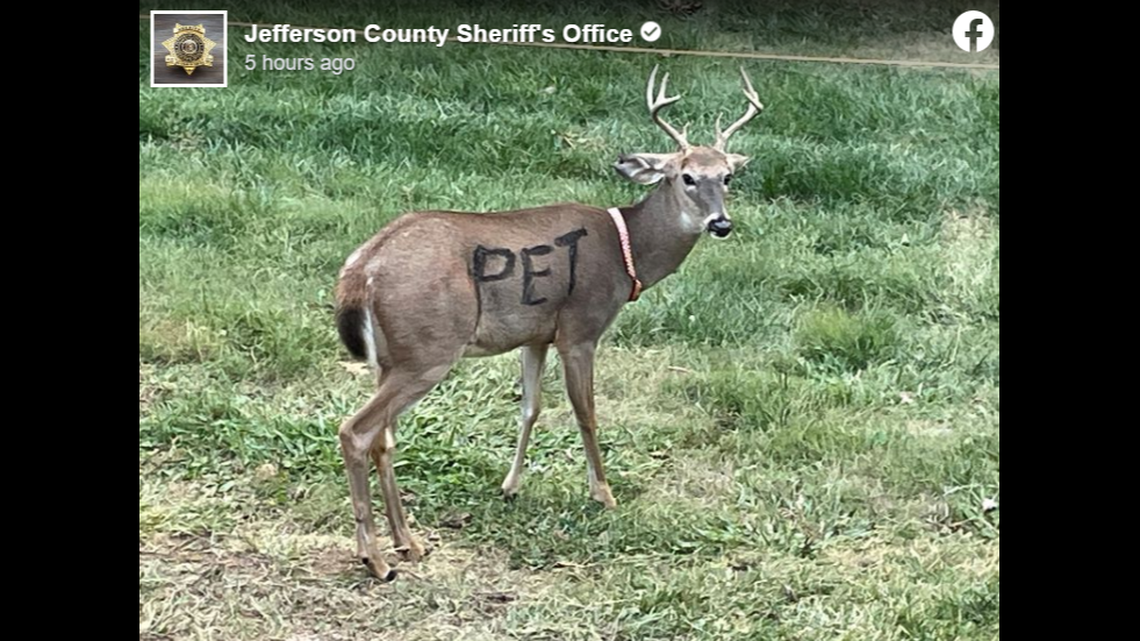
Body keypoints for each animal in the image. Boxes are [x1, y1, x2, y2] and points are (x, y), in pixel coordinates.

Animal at [334, 65, 765, 580]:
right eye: (687, 177)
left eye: (728, 176)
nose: (721, 224)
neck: (628, 253)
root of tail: (362, 268)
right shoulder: (581, 327)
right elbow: (586, 412)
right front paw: (603, 493)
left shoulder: (535, 333)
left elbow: (530, 407)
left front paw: (510, 485)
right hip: (428, 349)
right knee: (357, 431)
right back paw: (375, 558)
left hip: (390, 356)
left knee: (384, 438)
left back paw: (408, 542)